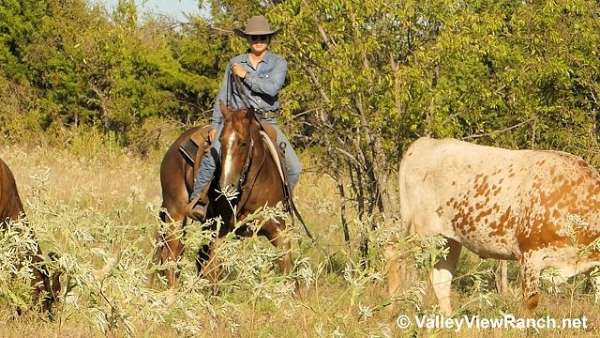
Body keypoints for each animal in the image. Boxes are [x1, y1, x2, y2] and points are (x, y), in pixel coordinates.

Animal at [156, 103, 294, 288]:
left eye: (243, 143)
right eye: (221, 141)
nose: (226, 188)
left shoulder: (278, 230)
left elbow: (288, 269)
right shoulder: (220, 232)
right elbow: (215, 272)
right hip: (174, 215)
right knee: (171, 256)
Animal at [386, 137, 600, 314]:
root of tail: (423, 143)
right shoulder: (530, 255)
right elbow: (531, 303)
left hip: (448, 240)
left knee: (441, 279)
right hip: (419, 233)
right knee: (394, 254)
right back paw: (391, 310)